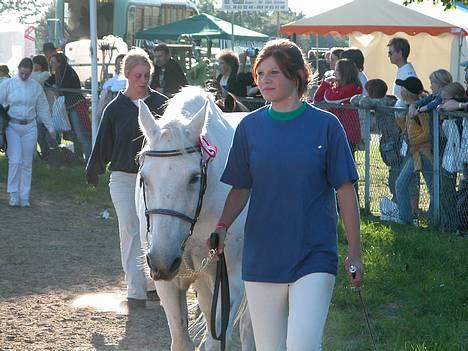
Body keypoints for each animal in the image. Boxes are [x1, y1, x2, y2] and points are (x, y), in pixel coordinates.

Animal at [135, 86, 254, 351]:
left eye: (193, 177)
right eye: (144, 177)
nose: (162, 260)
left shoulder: (233, 280)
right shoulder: (169, 283)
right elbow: (181, 339)